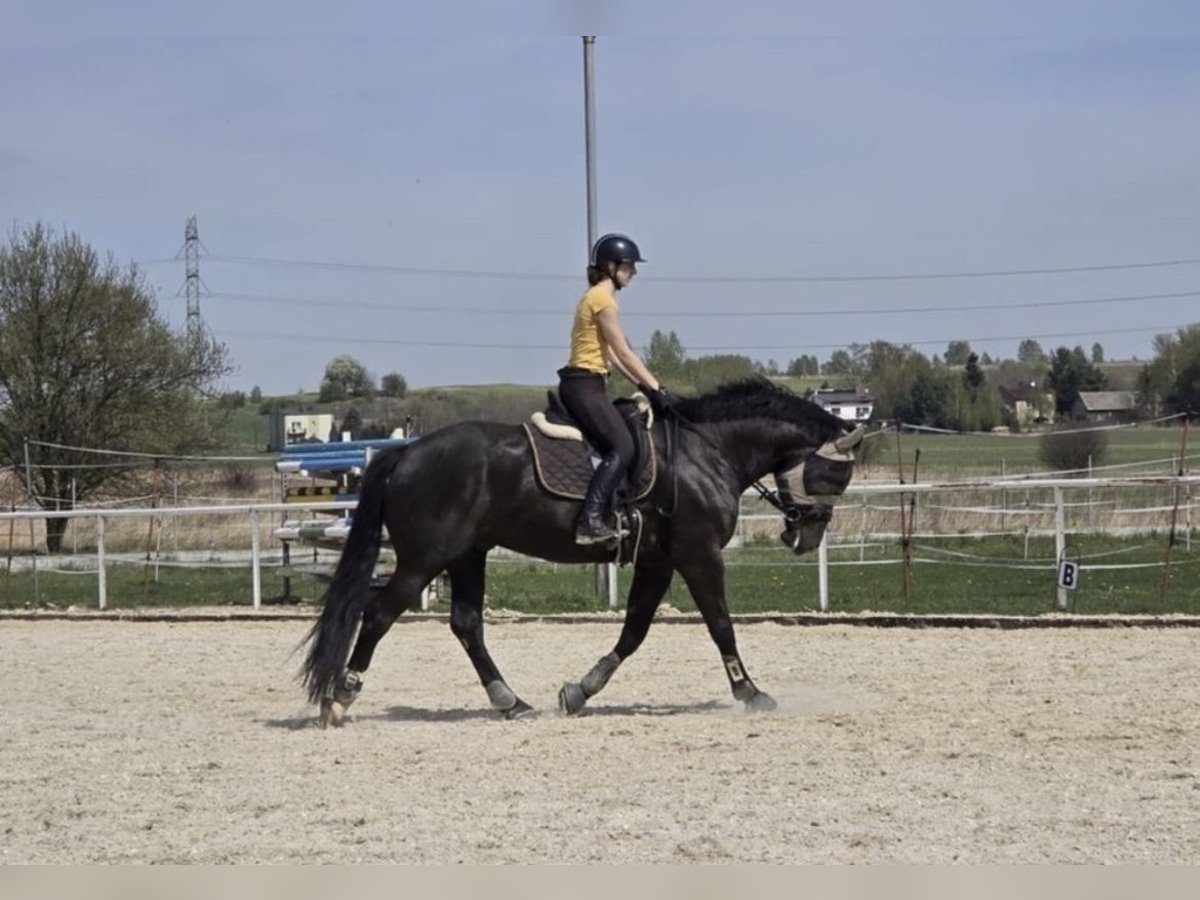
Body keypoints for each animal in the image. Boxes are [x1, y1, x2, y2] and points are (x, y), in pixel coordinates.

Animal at [300, 379, 864, 724]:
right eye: (834, 476)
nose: (806, 538)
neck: (706, 453)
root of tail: (408, 452)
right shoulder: (698, 554)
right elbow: (721, 625)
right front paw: (750, 693)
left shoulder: (659, 560)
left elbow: (634, 630)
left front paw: (579, 690)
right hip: (425, 559)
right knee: (377, 614)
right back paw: (340, 699)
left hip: (466, 555)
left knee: (466, 624)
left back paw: (510, 701)